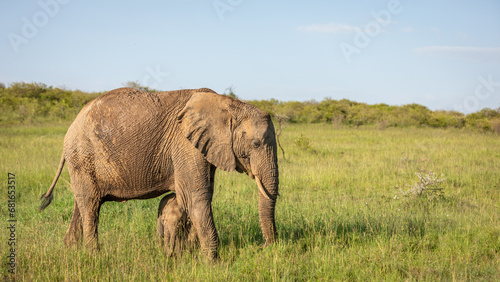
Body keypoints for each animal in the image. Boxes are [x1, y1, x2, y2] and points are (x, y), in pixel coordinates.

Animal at [38, 87, 282, 260]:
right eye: (256, 144)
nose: (265, 247)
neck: (229, 105)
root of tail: (70, 128)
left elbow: (201, 197)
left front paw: (190, 254)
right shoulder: (185, 144)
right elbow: (197, 198)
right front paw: (213, 263)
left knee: (82, 204)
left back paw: (70, 250)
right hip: (82, 155)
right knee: (90, 205)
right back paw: (94, 256)